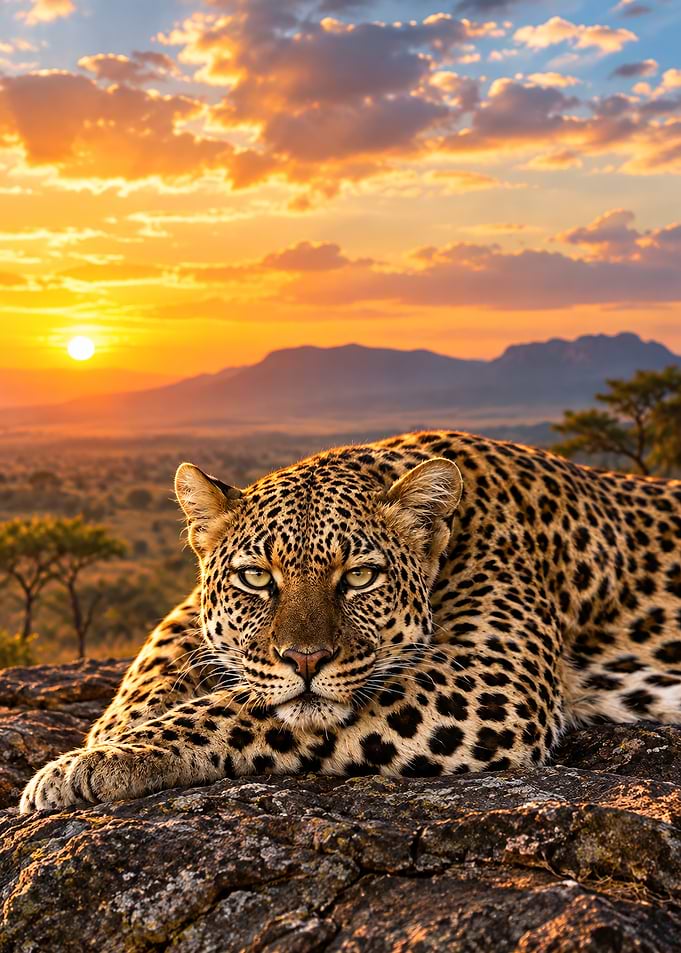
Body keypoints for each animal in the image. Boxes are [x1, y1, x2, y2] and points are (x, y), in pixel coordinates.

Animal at [20, 429, 681, 812]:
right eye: (256, 578)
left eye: (360, 577)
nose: (305, 660)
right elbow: (160, 658)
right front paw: (108, 734)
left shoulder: (491, 681)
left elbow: (234, 710)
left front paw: (89, 765)